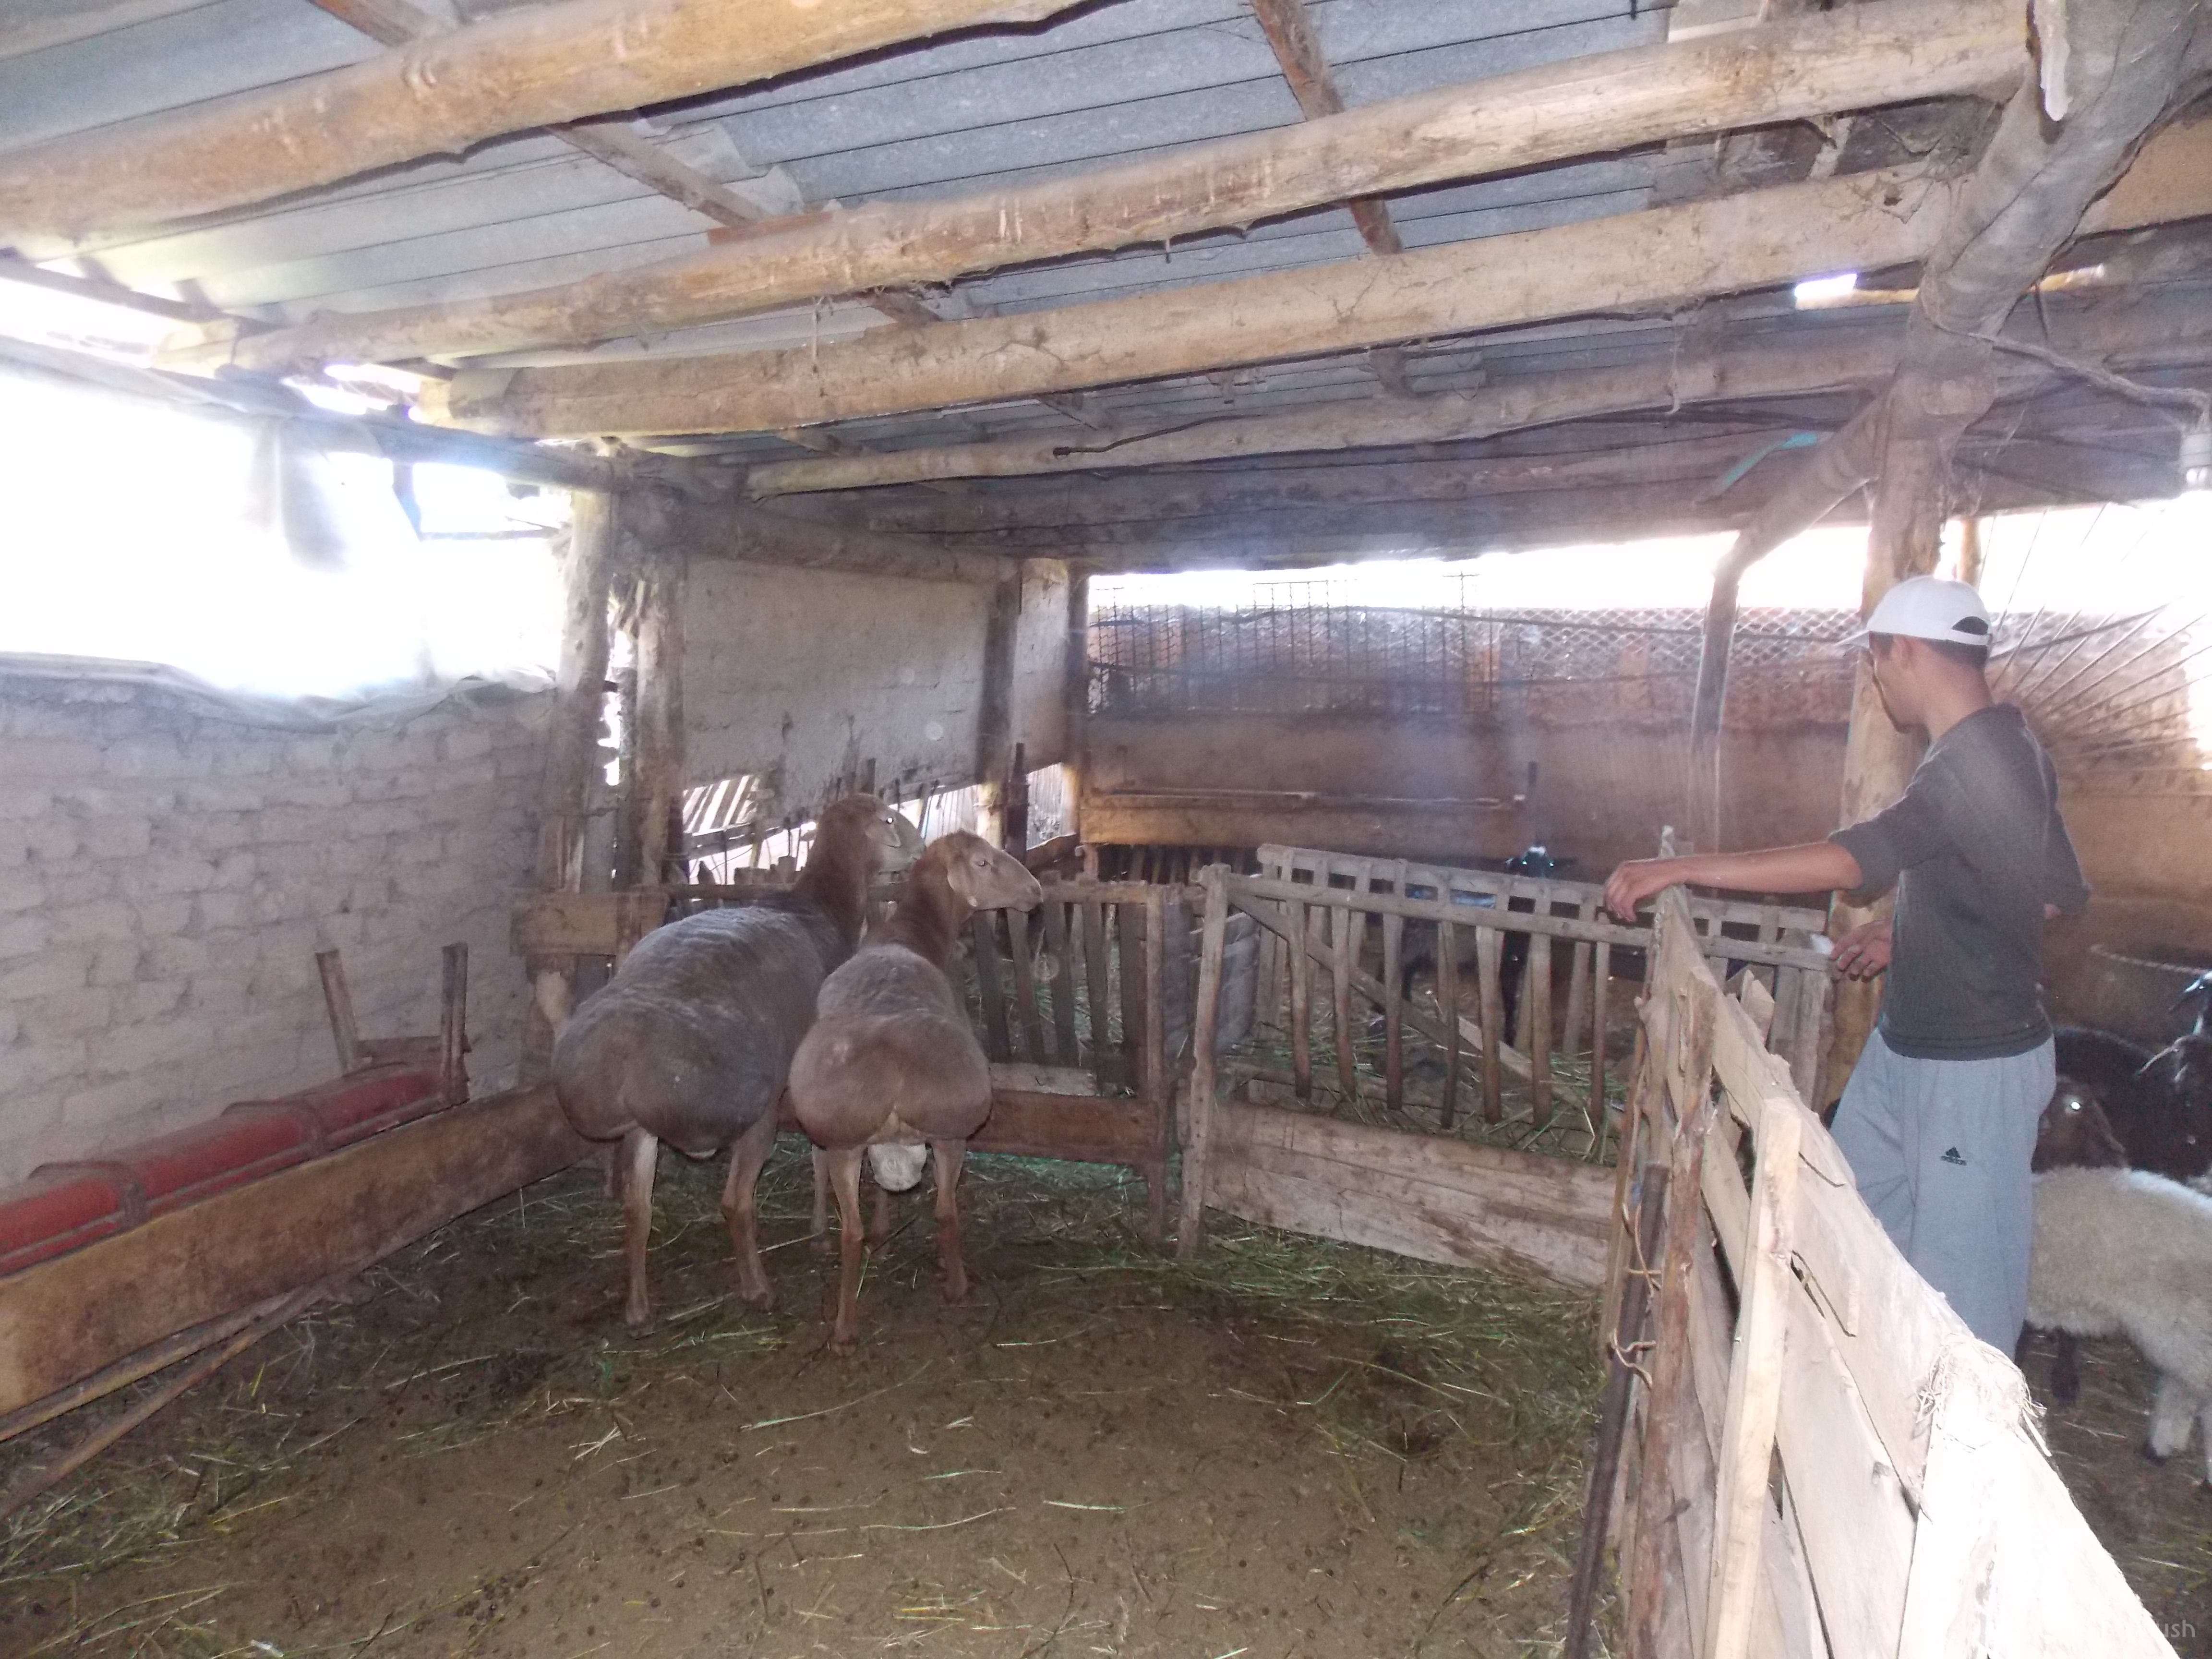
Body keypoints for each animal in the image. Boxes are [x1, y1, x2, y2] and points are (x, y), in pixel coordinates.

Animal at [553, 795, 921, 1330]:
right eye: (890, 818)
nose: (921, 847)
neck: (819, 907)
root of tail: (620, 1065)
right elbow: (818, 1154)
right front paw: (820, 1230)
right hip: (753, 1112)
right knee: (733, 1203)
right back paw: (757, 1289)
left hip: (642, 1130)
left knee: (637, 1208)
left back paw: (638, 1309)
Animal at [787, 831, 1042, 1351]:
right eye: (983, 861)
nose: (1036, 891)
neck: (913, 930)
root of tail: (893, 1063)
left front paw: (879, 1231)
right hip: (950, 1131)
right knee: (946, 1211)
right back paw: (957, 1286)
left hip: (851, 1136)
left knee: (854, 1229)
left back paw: (844, 1327)